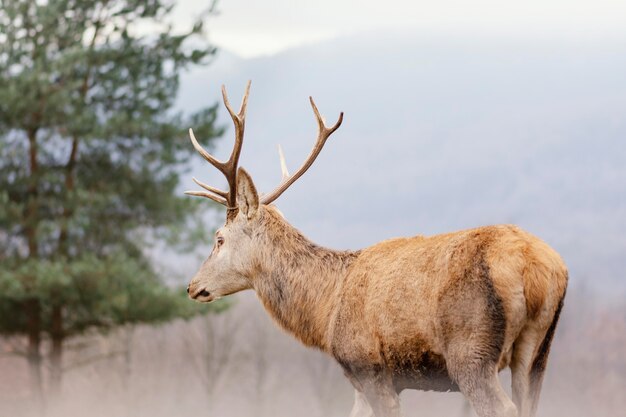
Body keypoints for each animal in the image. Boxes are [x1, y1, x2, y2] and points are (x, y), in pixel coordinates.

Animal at [184, 82, 564, 416]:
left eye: (219, 237)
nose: (192, 286)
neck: (325, 313)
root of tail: (538, 269)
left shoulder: (368, 365)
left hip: (471, 349)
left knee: (501, 406)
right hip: (538, 352)